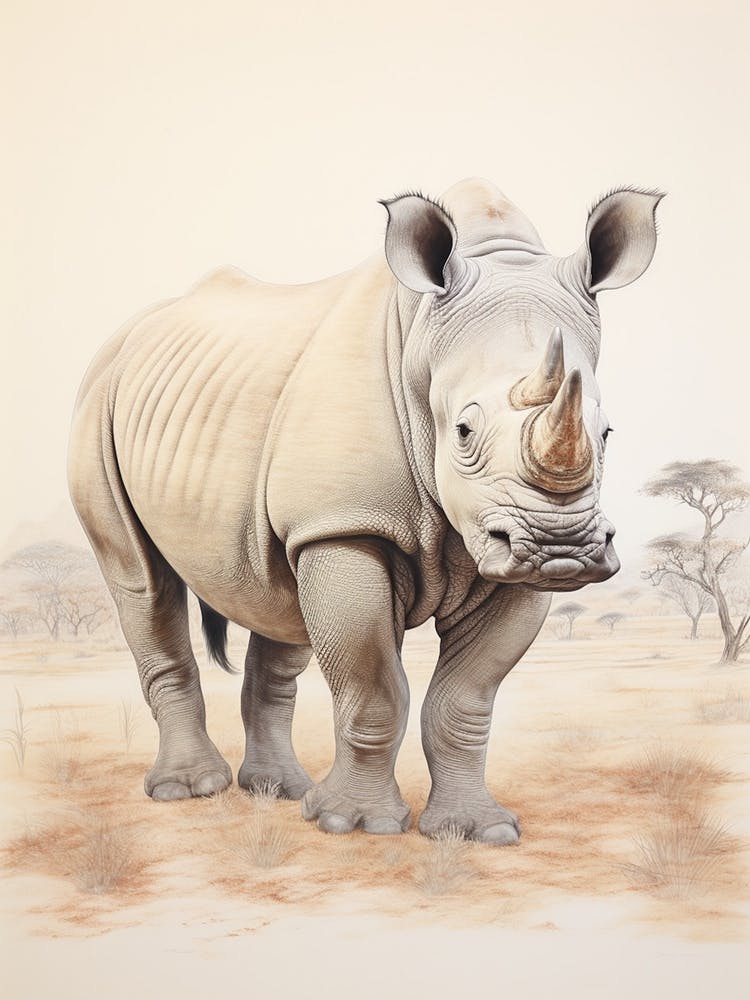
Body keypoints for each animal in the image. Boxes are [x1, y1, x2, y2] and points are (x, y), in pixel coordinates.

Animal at [68, 177, 662, 843]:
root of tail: (127, 339)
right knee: (143, 582)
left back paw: (280, 791)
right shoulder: (345, 526)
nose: (562, 547)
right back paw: (190, 790)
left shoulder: (501, 556)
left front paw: (476, 831)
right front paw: (355, 825)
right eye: (463, 432)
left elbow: (465, 699)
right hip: (96, 405)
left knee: (278, 600)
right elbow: (372, 686)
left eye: (606, 433)